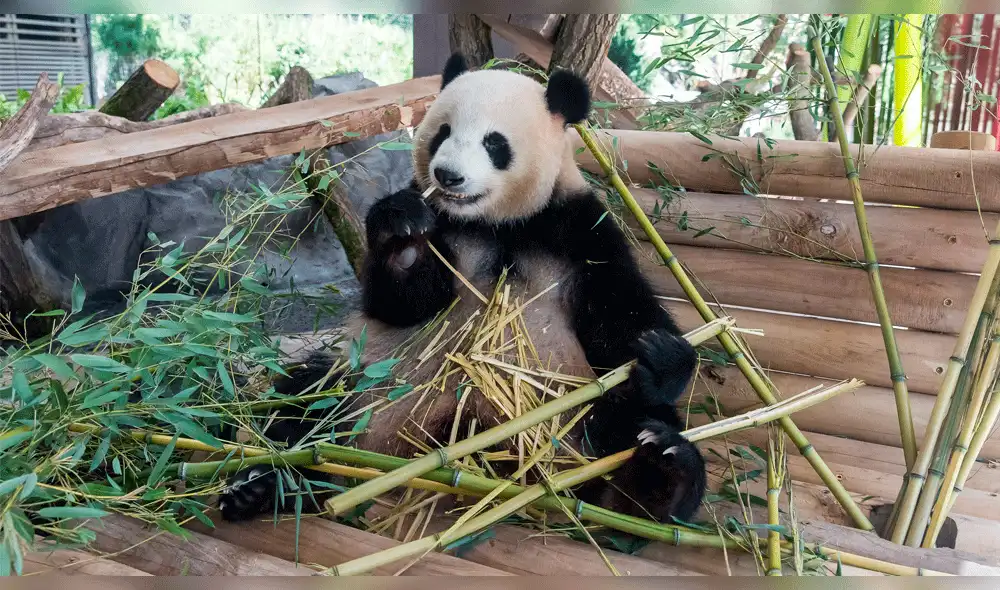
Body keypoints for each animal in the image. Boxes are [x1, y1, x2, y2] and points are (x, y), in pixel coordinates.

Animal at [218, 53, 706, 527]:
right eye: (442, 133)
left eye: (494, 143)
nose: (448, 176)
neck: (495, 224)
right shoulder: (445, 226)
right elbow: (400, 304)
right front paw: (403, 236)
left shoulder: (578, 231)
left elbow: (620, 316)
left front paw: (662, 354)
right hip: (368, 387)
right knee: (311, 398)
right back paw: (264, 485)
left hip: (576, 422)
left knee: (631, 424)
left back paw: (658, 478)